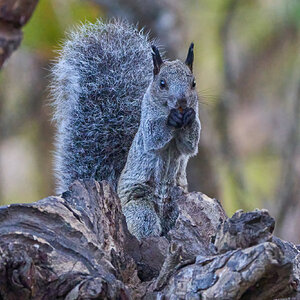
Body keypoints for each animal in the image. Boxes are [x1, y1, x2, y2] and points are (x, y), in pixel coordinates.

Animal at [51, 19, 202, 239]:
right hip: (140, 207)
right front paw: (170, 119)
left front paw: (189, 118)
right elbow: (154, 136)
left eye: (193, 83)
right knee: (145, 223)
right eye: (162, 83)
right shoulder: (146, 127)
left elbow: (189, 145)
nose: (181, 101)